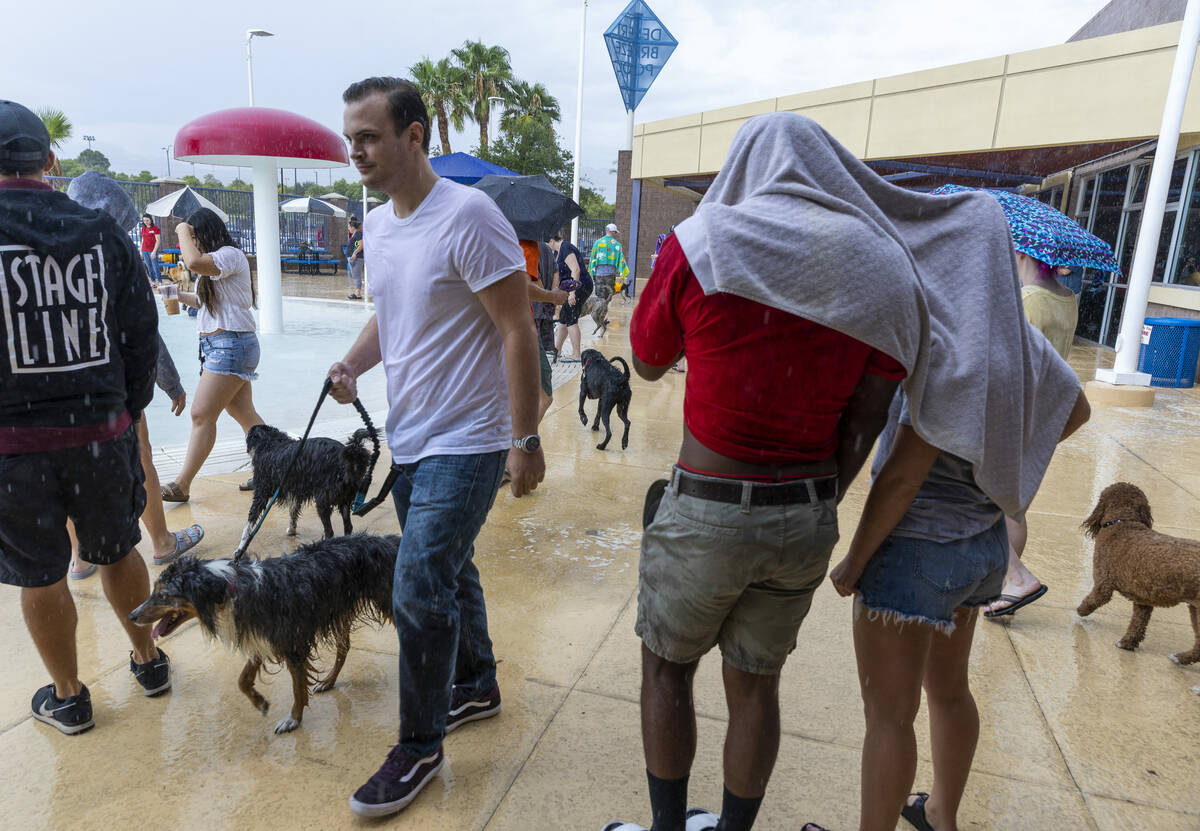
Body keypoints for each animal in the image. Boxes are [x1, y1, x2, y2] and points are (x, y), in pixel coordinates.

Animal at [130, 535, 403, 730]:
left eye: (163, 595)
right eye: (154, 591)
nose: (132, 616)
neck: (227, 589)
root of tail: (390, 541)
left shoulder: (292, 643)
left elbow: (297, 688)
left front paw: (293, 719)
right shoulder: (260, 635)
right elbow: (242, 680)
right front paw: (259, 702)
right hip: (338, 611)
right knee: (344, 648)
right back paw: (328, 681)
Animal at [241, 422, 376, 545]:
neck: (270, 443)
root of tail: (350, 456)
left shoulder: (261, 491)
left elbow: (250, 520)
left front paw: (240, 549)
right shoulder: (295, 491)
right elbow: (293, 511)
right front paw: (292, 530)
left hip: (323, 499)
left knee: (329, 531)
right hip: (345, 498)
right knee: (348, 527)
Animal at [1080, 482, 1200, 667]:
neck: (1124, 522)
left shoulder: (1103, 585)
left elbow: (1092, 601)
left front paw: (1081, 610)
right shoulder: (1143, 600)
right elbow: (1137, 624)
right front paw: (1127, 643)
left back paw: (1180, 658)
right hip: (1194, 609)